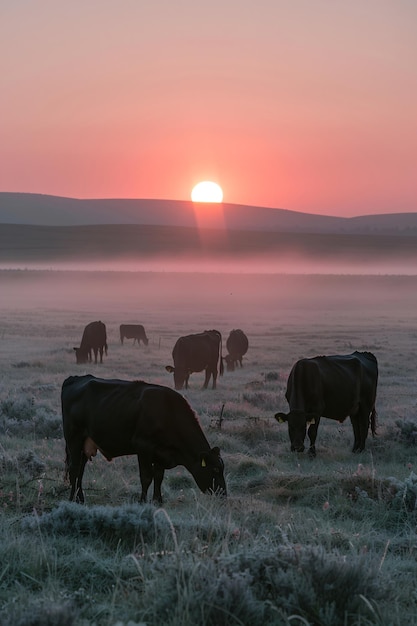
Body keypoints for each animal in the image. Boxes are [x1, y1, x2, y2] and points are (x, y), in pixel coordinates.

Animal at [60, 376, 226, 502]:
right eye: (215, 469)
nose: (223, 493)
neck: (168, 411)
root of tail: (76, 378)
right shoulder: (144, 447)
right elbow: (146, 477)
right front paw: (143, 501)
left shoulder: (161, 453)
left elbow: (159, 477)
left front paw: (158, 501)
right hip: (73, 438)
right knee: (74, 468)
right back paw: (72, 499)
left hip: (85, 444)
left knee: (81, 469)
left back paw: (80, 498)